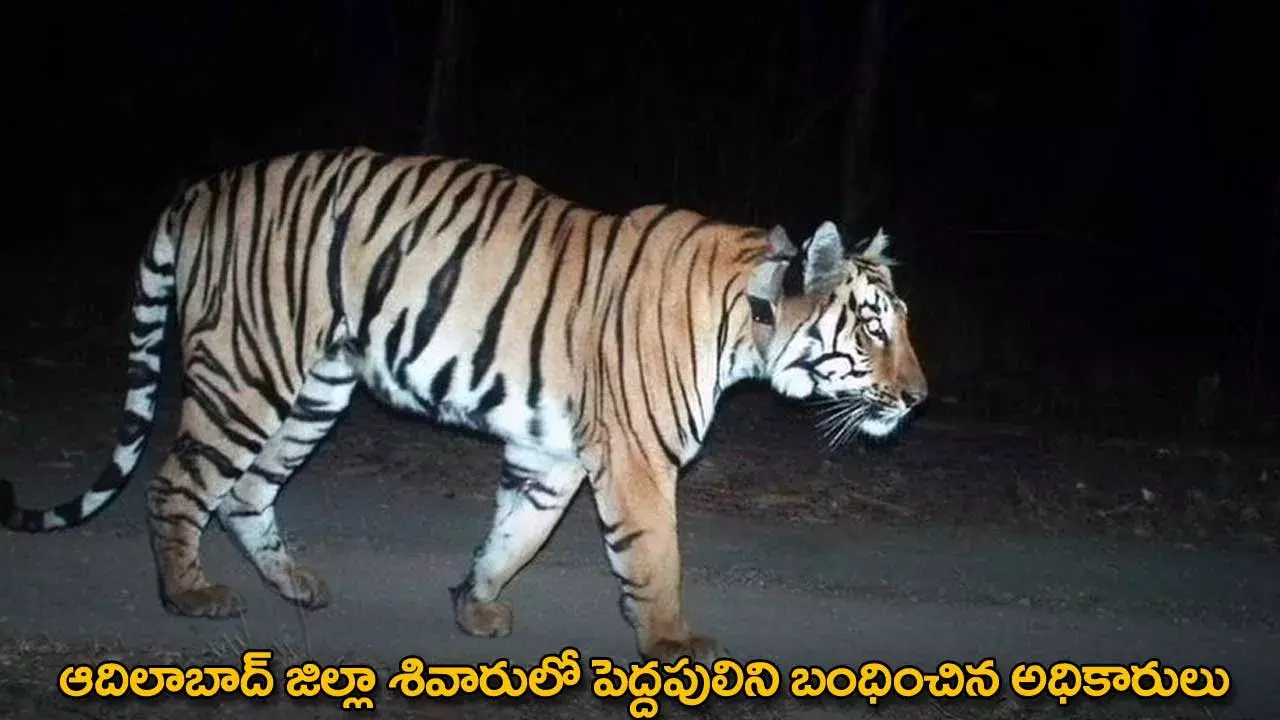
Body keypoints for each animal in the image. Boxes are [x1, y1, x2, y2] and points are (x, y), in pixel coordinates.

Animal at [0, 146, 927, 664]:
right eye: (874, 327)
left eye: (900, 323)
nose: (920, 398)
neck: (746, 322)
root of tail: (205, 187)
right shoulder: (635, 460)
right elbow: (655, 556)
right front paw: (671, 642)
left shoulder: (553, 455)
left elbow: (515, 533)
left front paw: (474, 605)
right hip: (244, 370)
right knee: (178, 484)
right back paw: (189, 594)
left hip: (316, 388)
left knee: (247, 491)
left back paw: (295, 585)